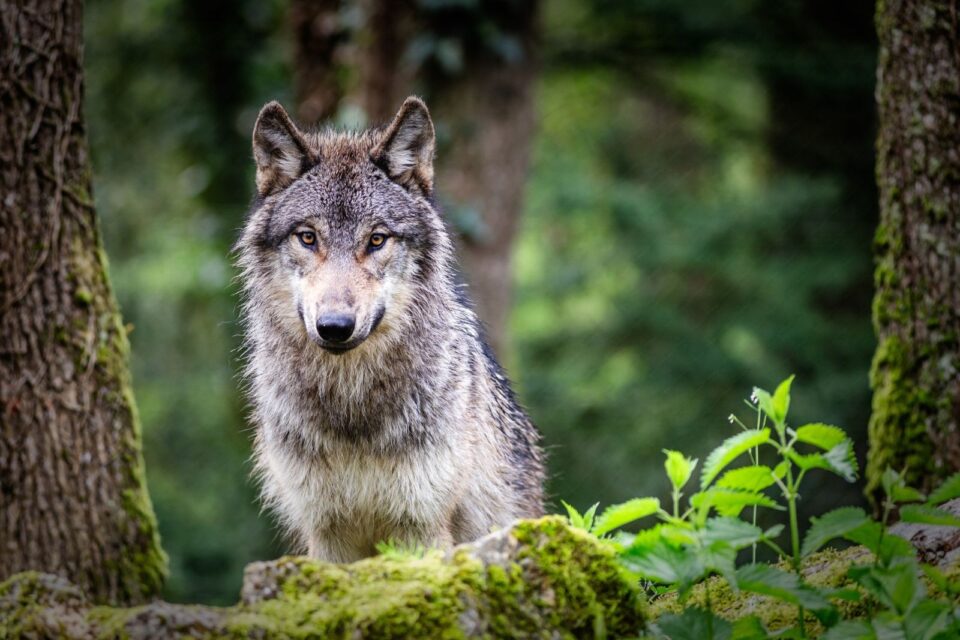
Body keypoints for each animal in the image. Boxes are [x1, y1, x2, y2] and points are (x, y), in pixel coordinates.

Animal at [236, 96, 546, 562]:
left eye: (377, 240)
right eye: (308, 238)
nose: (334, 327)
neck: (352, 409)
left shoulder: (419, 526)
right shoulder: (326, 533)